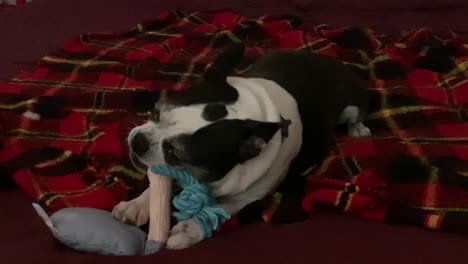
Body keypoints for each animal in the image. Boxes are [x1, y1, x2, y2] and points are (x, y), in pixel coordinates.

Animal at [111, 44, 372, 249]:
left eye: (175, 154)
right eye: (155, 112)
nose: (139, 142)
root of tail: (322, 56)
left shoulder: (249, 197)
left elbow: (223, 208)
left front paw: (191, 229)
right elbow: (157, 185)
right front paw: (137, 205)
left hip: (352, 104)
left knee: (356, 114)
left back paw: (358, 129)